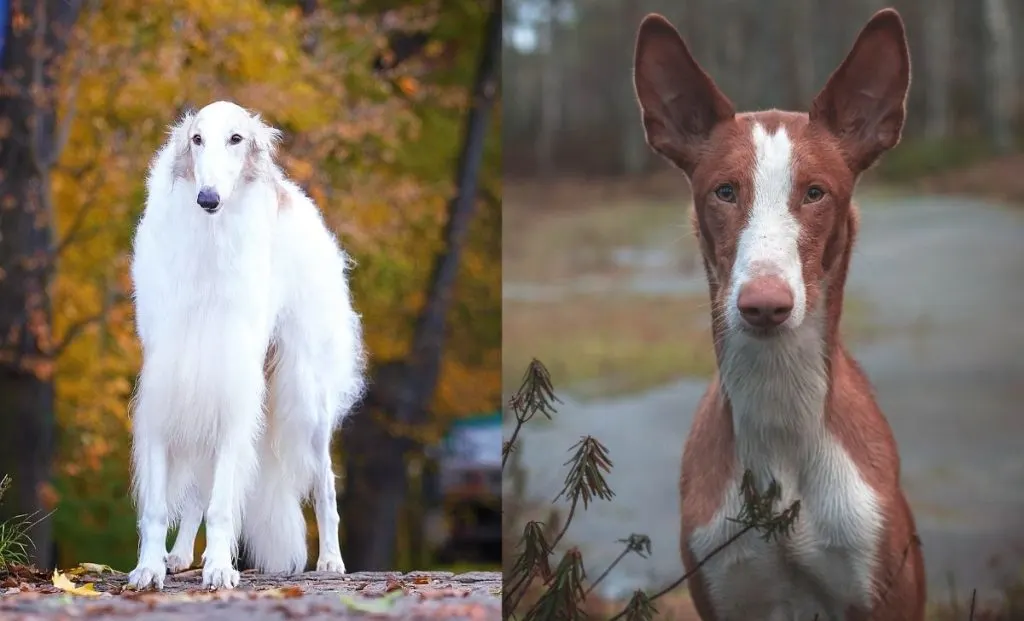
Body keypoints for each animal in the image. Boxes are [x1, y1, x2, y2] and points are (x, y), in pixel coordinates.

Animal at [127, 99, 366, 590]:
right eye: (196, 139)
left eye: (236, 139)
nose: (208, 199)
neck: (208, 249)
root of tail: (295, 196)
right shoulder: (168, 385)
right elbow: (161, 506)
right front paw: (149, 567)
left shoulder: (235, 388)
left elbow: (221, 505)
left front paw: (220, 567)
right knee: (196, 491)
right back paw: (180, 555)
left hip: (306, 399)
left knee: (326, 485)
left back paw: (331, 560)